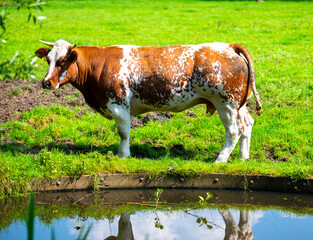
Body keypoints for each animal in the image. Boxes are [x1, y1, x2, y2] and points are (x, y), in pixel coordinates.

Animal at [34, 39, 260, 163]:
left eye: (63, 61)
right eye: (48, 60)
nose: (46, 82)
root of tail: (228, 46)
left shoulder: (118, 105)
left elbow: (123, 133)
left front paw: (123, 155)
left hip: (226, 104)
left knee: (234, 131)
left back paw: (220, 159)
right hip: (239, 105)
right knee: (247, 125)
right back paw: (243, 157)